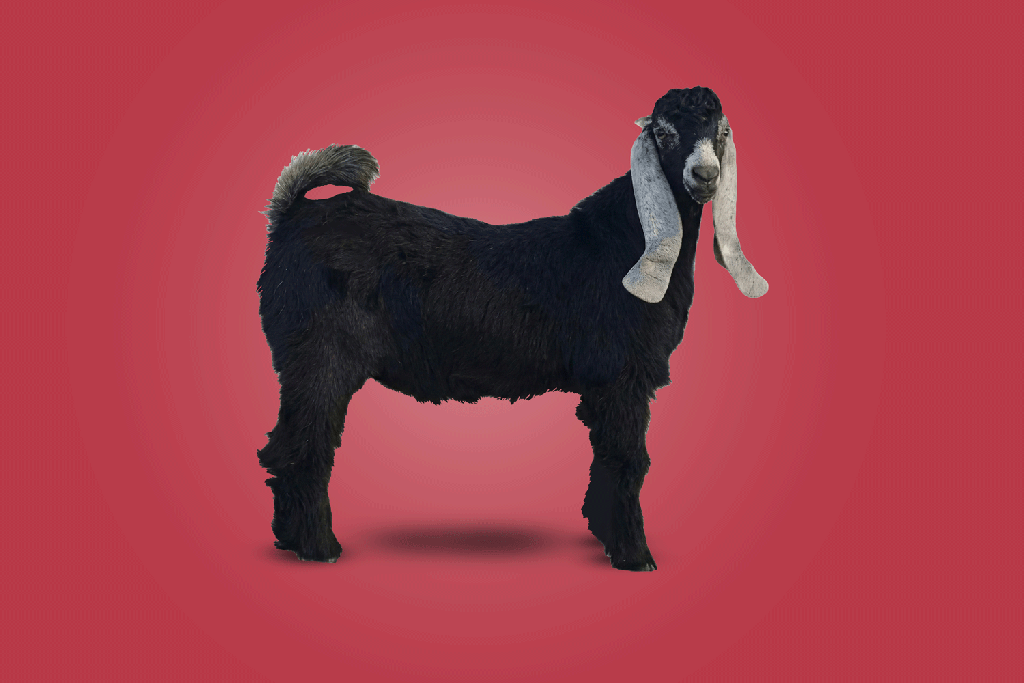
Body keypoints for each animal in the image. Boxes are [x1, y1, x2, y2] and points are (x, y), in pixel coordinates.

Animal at [256, 86, 768, 571]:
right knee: (307, 447)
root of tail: (291, 215)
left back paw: (289, 539)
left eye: (721, 132)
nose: (704, 176)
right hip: (322, 358)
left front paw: (602, 533)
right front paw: (634, 554)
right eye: (662, 133)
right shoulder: (621, 377)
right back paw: (319, 547)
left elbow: (606, 457)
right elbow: (627, 459)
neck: (624, 241)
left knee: (283, 446)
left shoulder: (607, 385)